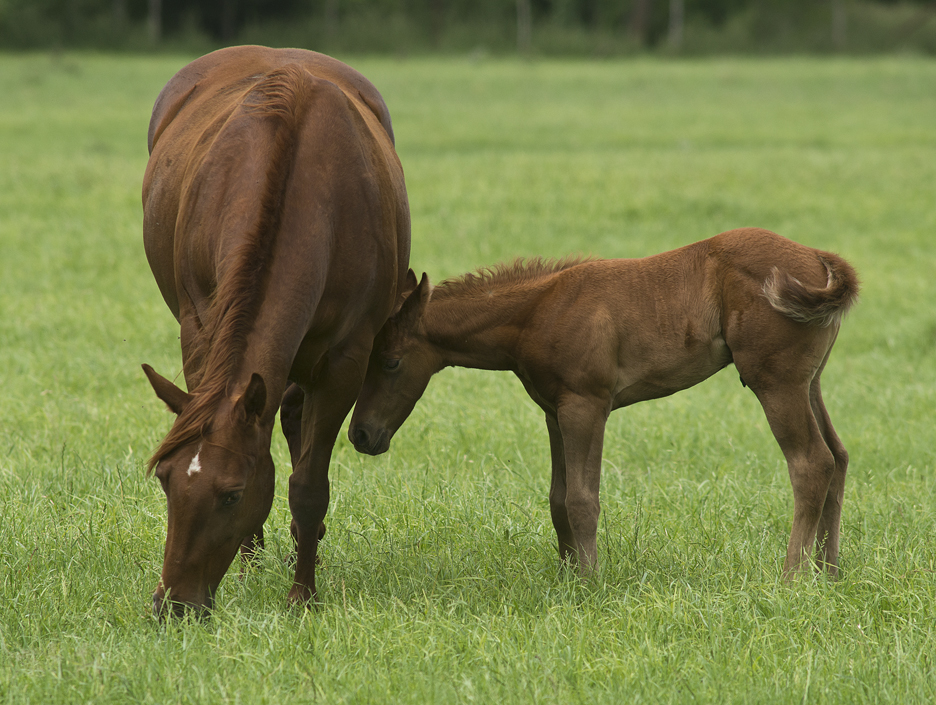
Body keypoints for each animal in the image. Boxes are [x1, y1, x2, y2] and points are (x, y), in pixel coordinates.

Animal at [141, 45, 410, 616]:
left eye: (232, 494)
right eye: (166, 481)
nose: (173, 605)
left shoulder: (344, 362)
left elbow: (307, 484)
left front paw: (303, 595)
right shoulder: (200, 335)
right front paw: (253, 568)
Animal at [349, 228, 859, 579]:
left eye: (391, 361)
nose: (361, 434)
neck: (538, 312)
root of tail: (818, 258)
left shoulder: (586, 405)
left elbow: (581, 499)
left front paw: (590, 582)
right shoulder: (553, 412)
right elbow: (557, 499)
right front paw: (566, 578)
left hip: (774, 382)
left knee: (810, 463)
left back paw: (793, 577)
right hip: (809, 382)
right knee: (837, 456)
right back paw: (828, 574)